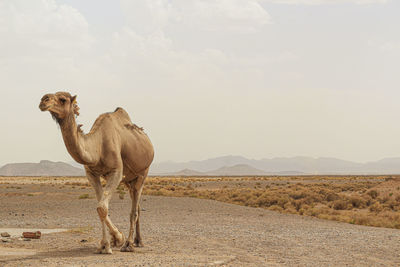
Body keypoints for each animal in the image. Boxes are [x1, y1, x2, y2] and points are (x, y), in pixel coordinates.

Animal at [38, 92, 155, 255]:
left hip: (143, 173)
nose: (44, 100)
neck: (98, 147)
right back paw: (138, 241)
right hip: (129, 180)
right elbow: (101, 208)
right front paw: (108, 242)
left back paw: (129, 244)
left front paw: (116, 241)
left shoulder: (116, 172)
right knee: (136, 206)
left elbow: (102, 208)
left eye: (63, 99)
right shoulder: (92, 174)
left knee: (134, 210)